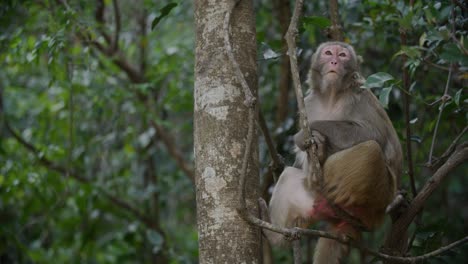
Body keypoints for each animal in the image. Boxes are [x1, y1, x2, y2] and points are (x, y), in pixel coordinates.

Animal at [264, 41, 402, 264]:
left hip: (380, 196)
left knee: (371, 150)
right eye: (328, 53)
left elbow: (373, 133)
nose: (334, 61)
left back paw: (328, 184)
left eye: (343, 55)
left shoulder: (359, 97)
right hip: (315, 205)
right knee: (289, 176)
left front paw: (305, 135)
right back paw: (275, 237)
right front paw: (316, 148)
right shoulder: (309, 103)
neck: (331, 96)